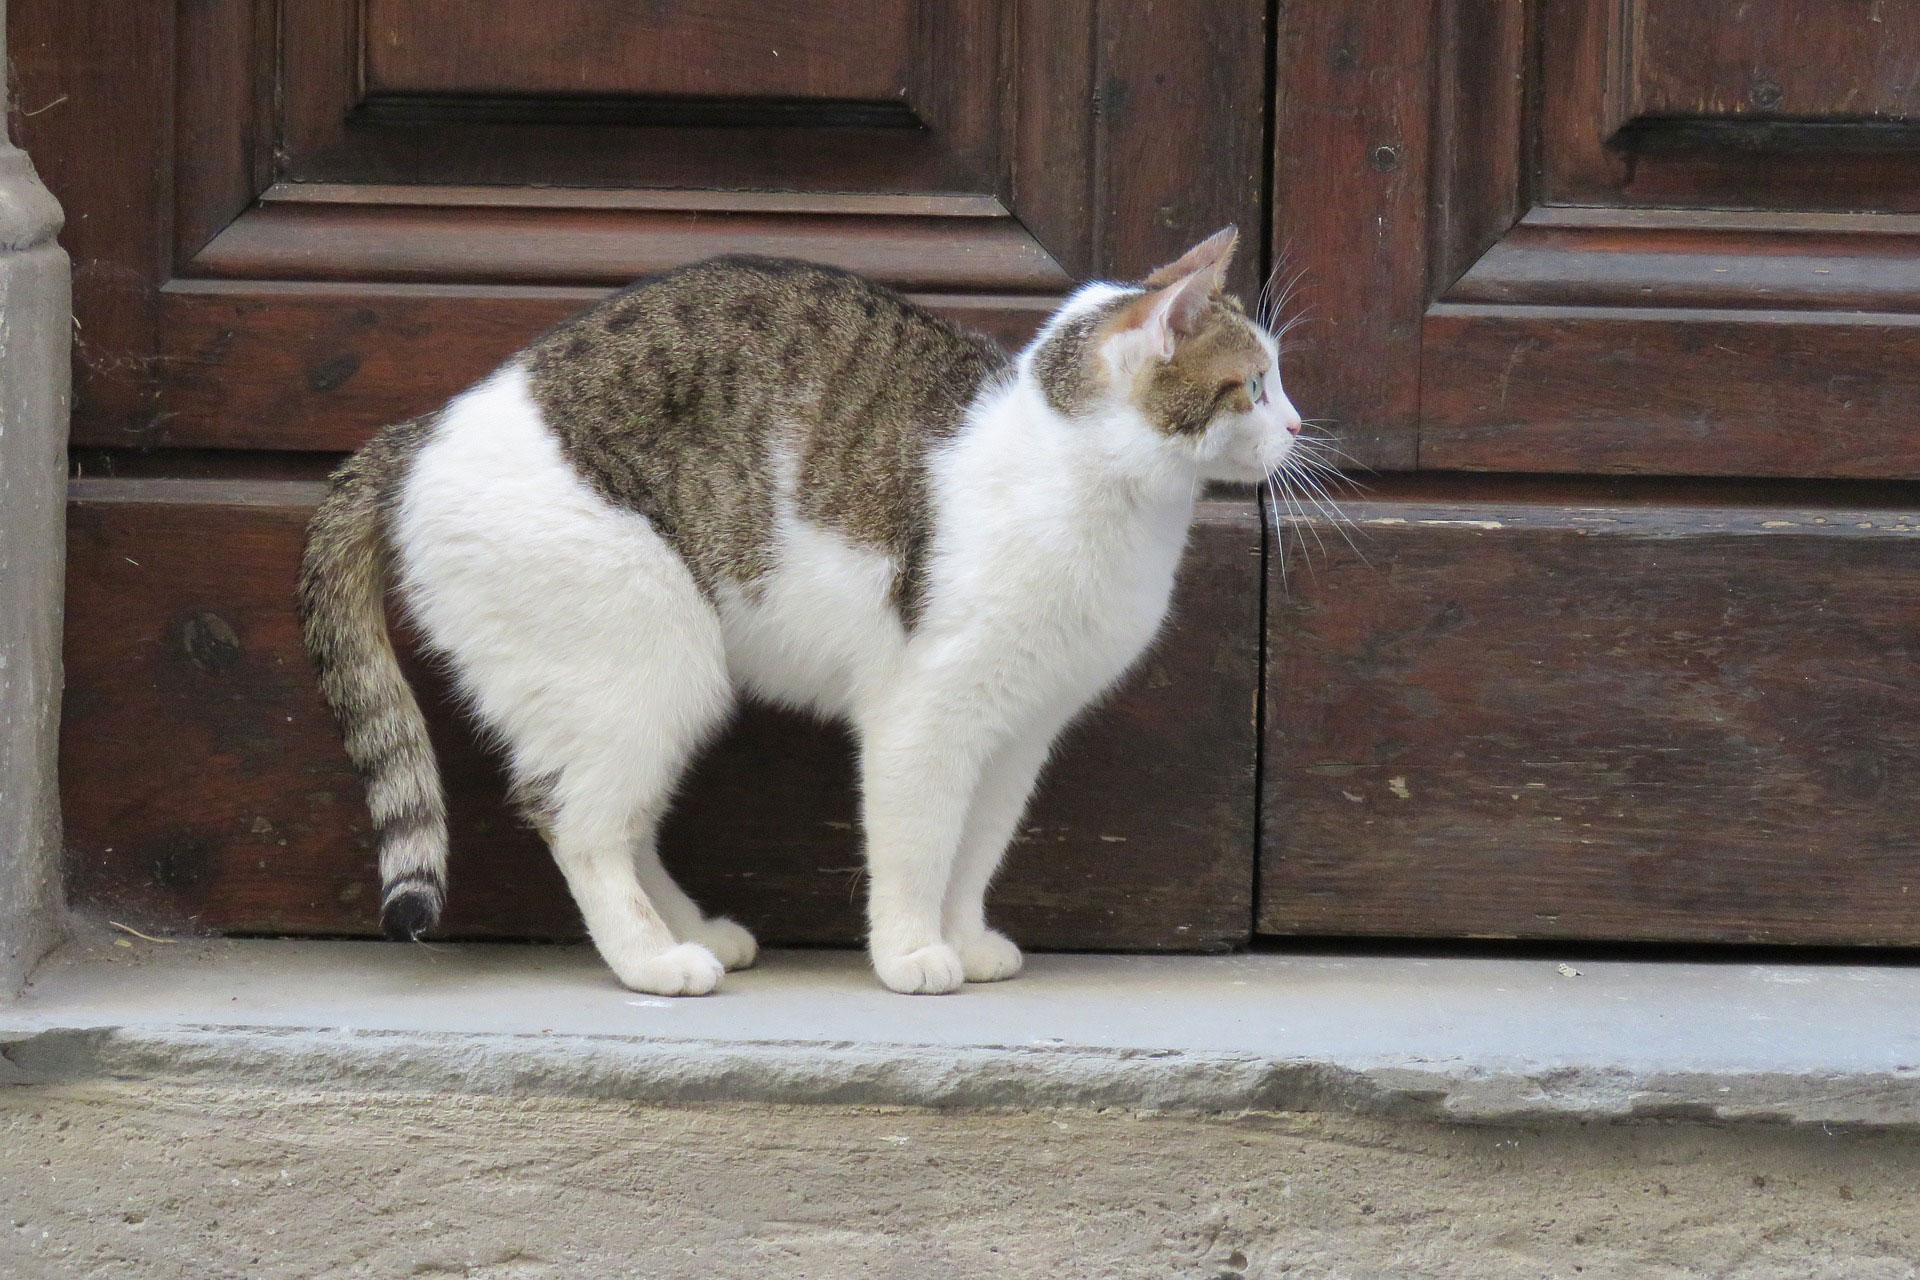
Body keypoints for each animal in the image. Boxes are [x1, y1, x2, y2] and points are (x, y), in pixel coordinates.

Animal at [299, 225, 1305, 997]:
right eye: (1255, 386)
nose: (1299, 426)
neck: (1082, 479)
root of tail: (420, 434)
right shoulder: (926, 714)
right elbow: (918, 840)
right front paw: (912, 952)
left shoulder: (1021, 731)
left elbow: (977, 846)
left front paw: (964, 936)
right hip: (649, 662)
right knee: (577, 823)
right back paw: (652, 962)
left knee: (623, 819)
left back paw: (691, 930)